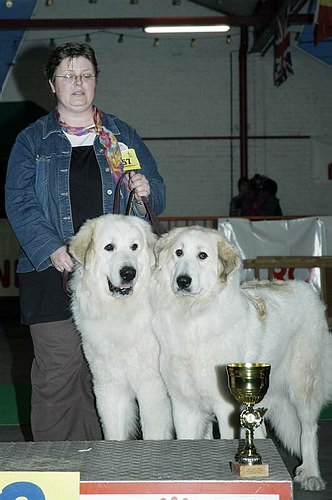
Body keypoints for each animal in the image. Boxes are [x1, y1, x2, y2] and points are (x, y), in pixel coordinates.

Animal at [70, 213, 174, 440]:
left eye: (134, 247)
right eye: (109, 247)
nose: (128, 273)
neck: (121, 312)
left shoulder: (152, 388)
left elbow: (152, 433)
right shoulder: (109, 387)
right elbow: (113, 432)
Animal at [152, 227, 332, 492]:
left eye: (202, 256)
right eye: (178, 253)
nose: (183, 281)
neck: (192, 314)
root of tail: (307, 289)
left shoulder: (225, 404)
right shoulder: (185, 405)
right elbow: (189, 440)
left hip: (302, 386)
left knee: (308, 430)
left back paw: (311, 474)